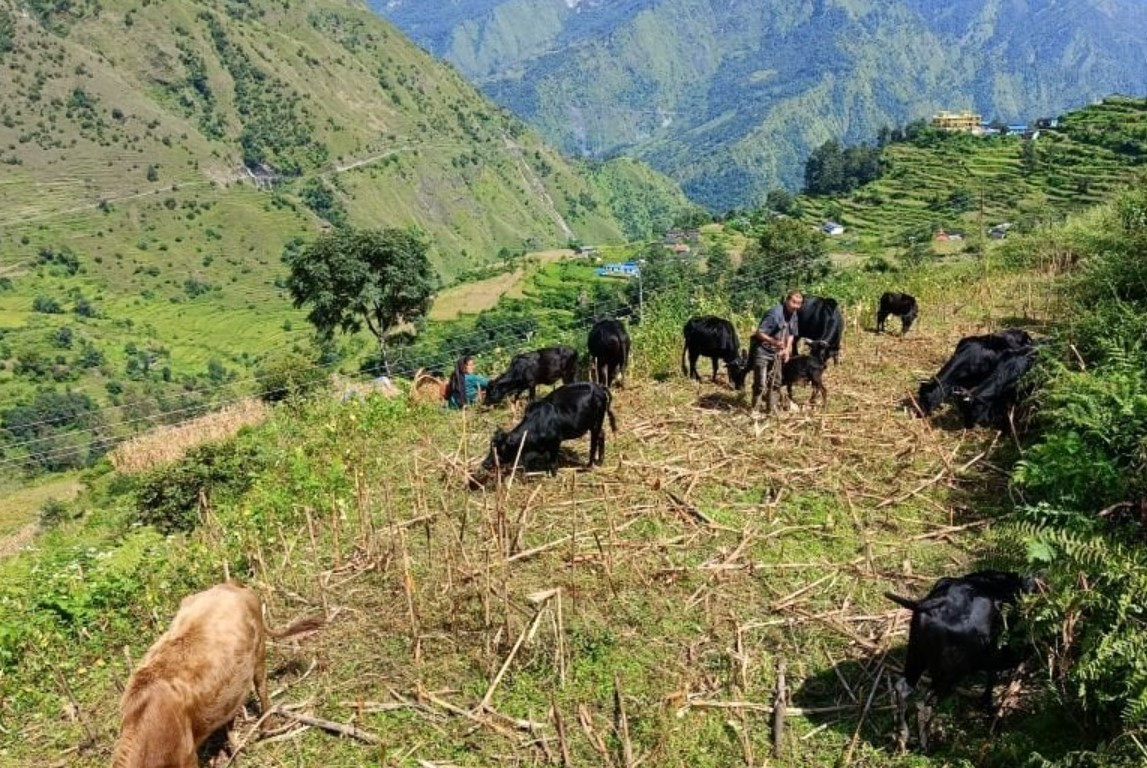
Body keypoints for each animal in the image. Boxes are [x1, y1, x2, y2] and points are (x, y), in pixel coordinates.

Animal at [479, 382, 614, 479]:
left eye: (501, 449)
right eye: (490, 448)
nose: (485, 463)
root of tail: (598, 387)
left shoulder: (555, 441)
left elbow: (552, 462)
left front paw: (552, 475)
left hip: (596, 423)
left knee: (594, 443)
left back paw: (589, 465)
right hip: (594, 424)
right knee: (602, 434)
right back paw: (600, 460)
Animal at [880, 575, 1036, 756]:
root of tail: (941, 602)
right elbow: (991, 679)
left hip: (916, 657)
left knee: (902, 688)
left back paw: (902, 736)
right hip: (949, 675)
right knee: (923, 705)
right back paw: (926, 747)